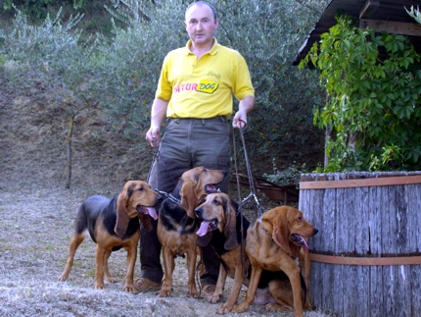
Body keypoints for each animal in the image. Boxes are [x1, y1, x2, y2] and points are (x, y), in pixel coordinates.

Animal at [156, 167, 225, 298]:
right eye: (204, 170)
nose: (224, 171)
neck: (182, 213)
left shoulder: (192, 250)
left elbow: (191, 275)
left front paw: (193, 291)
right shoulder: (166, 249)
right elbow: (168, 273)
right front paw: (165, 289)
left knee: (201, 266)